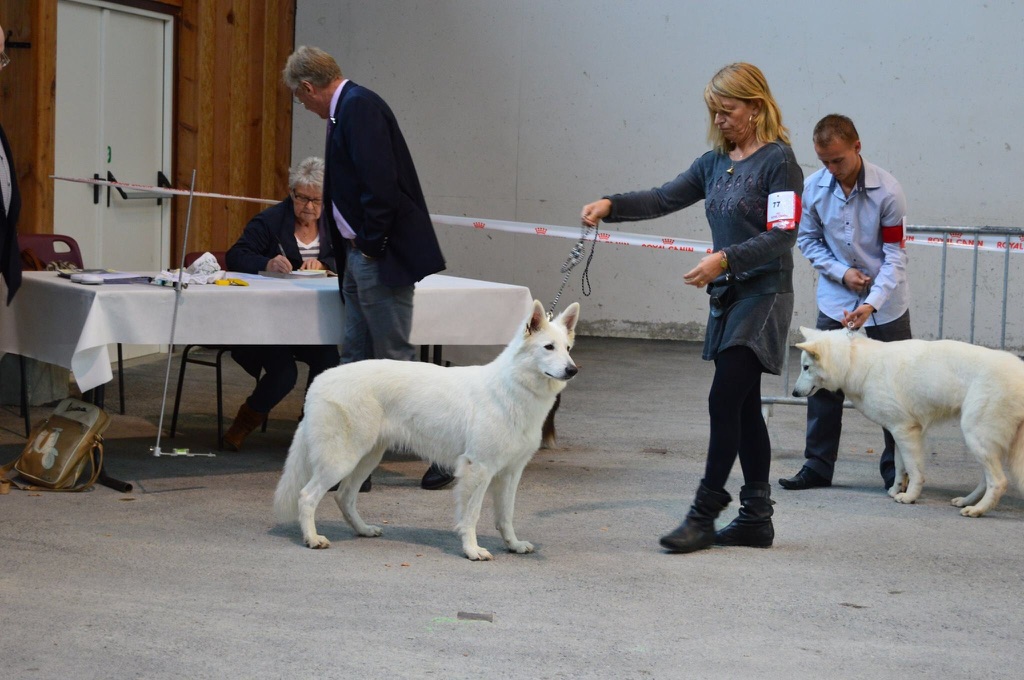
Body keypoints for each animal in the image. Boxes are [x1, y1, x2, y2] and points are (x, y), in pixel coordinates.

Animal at [272, 301, 581, 561]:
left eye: (567, 349)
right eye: (548, 347)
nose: (572, 370)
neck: (512, 388)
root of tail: (320, 380)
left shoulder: (510, 472)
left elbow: (506, 515)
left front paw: (513, 545)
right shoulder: (479, 469)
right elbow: (471, 515)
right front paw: (472, 550)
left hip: (367, 458)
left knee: (343, 497)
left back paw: (363, 530)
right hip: (342, 460)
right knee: (307, 496)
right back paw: (313, 539)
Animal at [790, 327, 1024, 516]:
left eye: (806, 367)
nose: (793, 393)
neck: (854, 361)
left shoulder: (905, 431)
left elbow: (913, 469)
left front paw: (909, 497)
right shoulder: (898, 431)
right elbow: (900, 466)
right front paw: (895, 490)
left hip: (975, 436)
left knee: (999, 481)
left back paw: (977, 510)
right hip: (981, 442)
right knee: (988, 479)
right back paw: (967, 501)